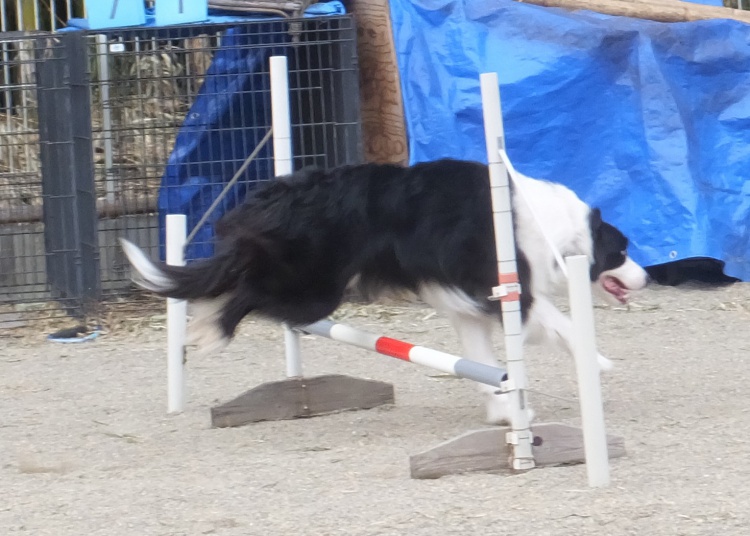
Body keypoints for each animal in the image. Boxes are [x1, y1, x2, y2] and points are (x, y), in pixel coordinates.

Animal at [120, 158, 648, 424]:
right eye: (621, 251)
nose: (647, 277)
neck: (562, 231)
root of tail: (275, 196)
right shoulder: (509, 289)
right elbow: (564, 326)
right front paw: (597, 361)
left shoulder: (470, 308)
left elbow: (486, 365)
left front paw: (503, 411)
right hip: (313, 288)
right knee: (247, 294)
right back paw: (208, 332)